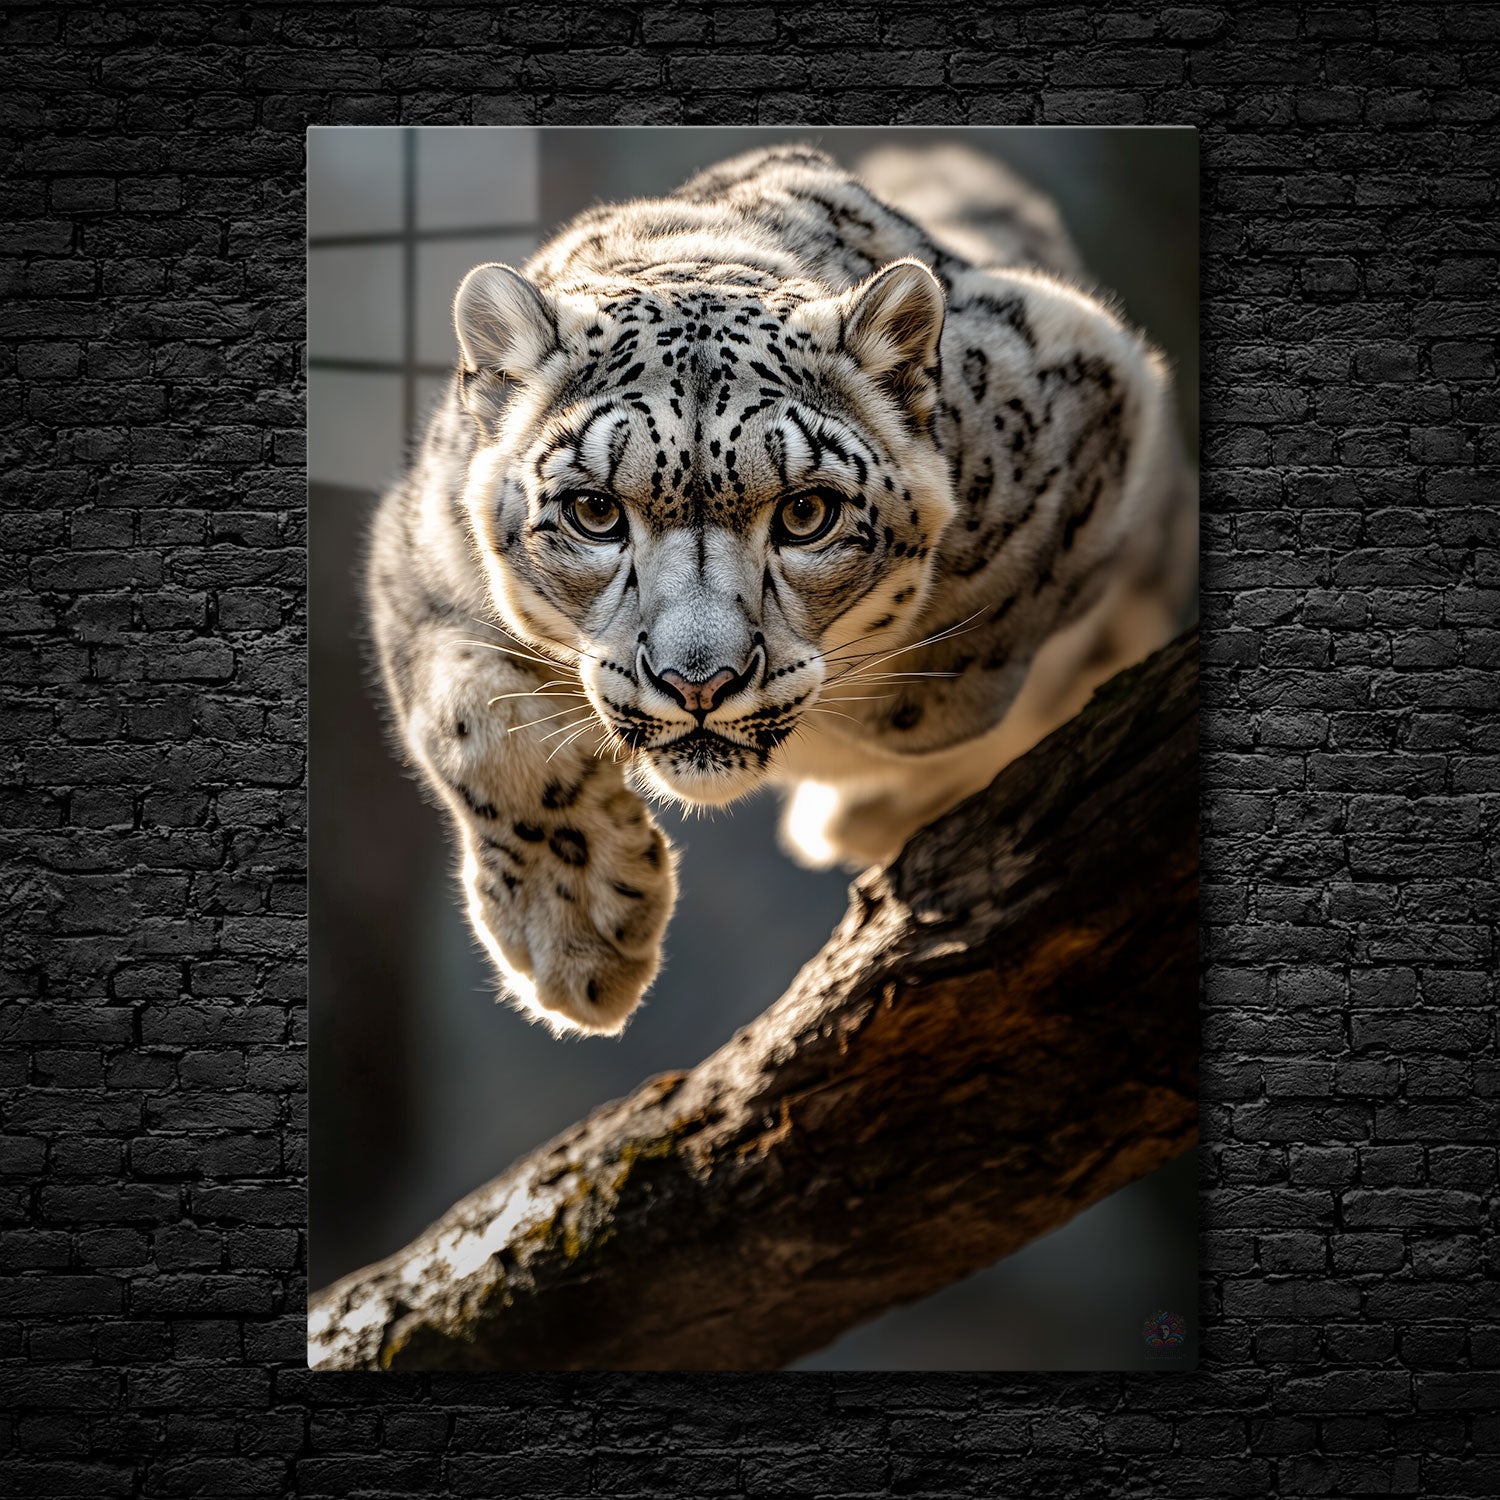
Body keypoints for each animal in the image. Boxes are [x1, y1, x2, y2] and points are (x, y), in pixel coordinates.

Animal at [364, 142, 1197, 1038]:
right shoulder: (421, 555)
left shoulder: (1099, 383)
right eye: (593, 512)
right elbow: (467, 719)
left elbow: (937, 701)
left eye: (806, 514)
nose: (699, 683)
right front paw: (582, 938)